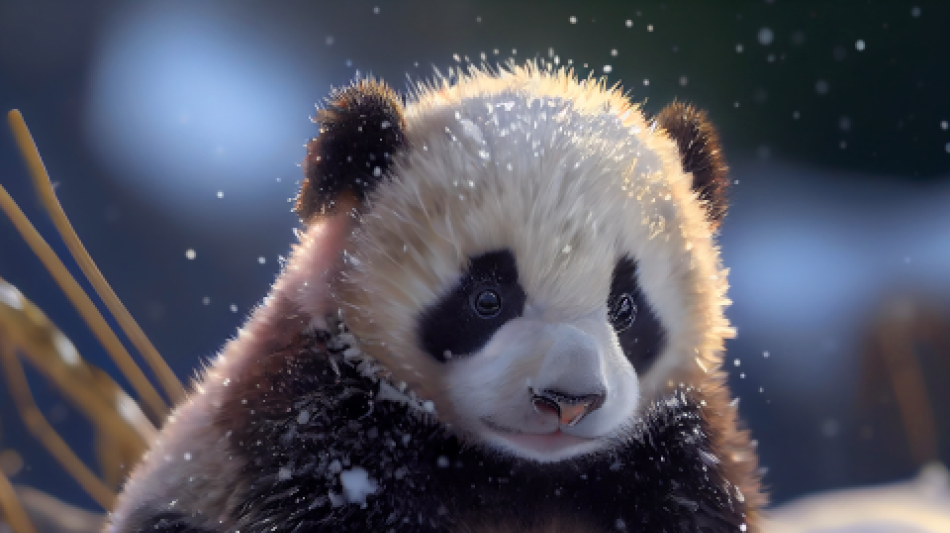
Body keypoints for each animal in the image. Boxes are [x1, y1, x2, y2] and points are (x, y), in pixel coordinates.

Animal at [107, 63, 764, 533]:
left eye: (625, 307)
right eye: (487, 299)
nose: (568, 402)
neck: (516, 473)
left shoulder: (675, 459)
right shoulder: (309, 432)